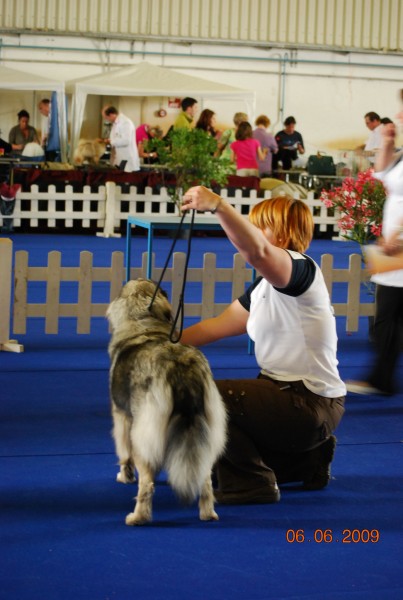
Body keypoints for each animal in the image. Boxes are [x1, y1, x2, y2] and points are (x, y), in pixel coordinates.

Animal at [106, 278, 227, 524]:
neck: (144, 323)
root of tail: (181, 366)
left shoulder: (122, 416)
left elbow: (124, 452)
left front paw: (124, 475)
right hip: (209, 432)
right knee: (205, 480)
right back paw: (208, 513)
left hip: (142, 431)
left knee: (147, 484)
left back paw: (138, 517)